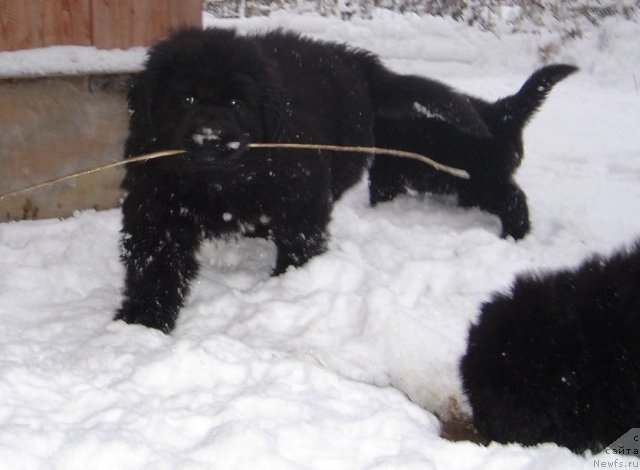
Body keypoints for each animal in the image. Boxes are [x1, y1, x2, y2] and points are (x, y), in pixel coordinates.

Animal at [116, 26, 576, 334]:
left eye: (235, 102)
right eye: (186, 98)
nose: (210, 138)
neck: (217, 179)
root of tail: (354, 59)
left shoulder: (301, 190)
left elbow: (300, 239)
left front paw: (291, 284)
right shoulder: (154, 202)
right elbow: (154, 262)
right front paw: (142, 321)